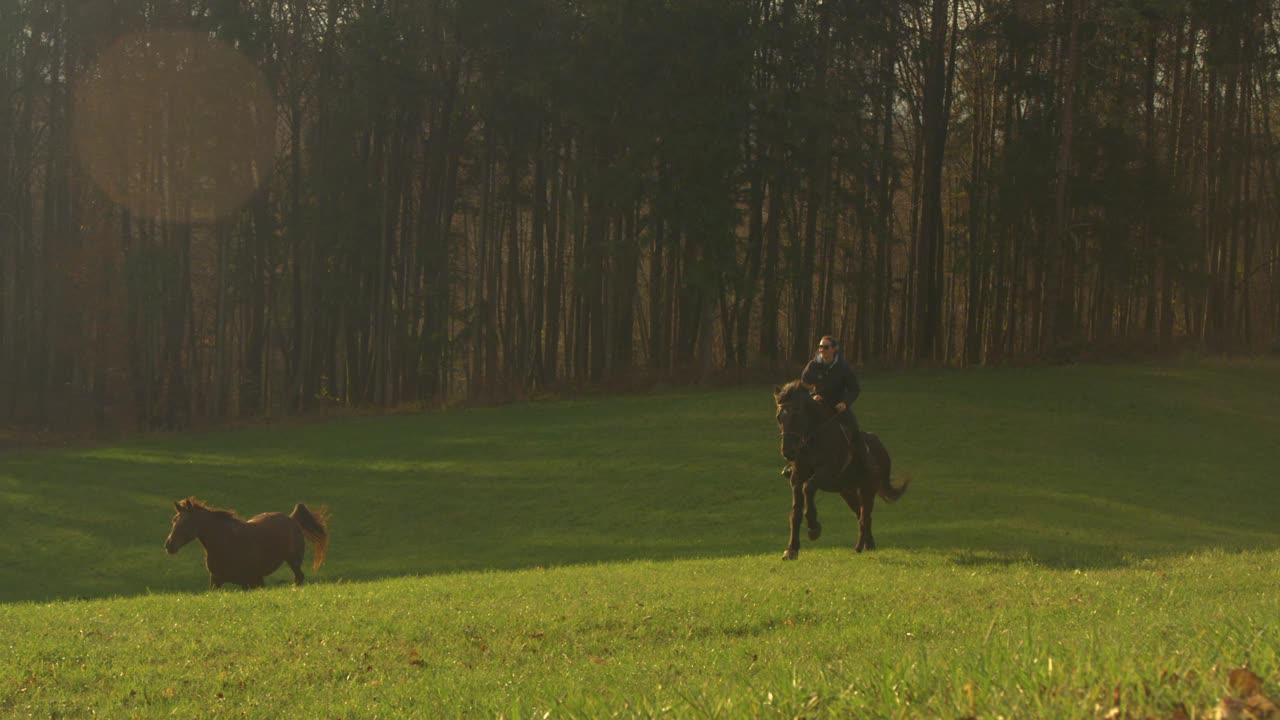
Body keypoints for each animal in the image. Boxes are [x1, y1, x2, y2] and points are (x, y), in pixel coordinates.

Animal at [165, 491, 330, 589]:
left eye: (185, 522)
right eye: (173, 520)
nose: (168, 545)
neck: (225, 542)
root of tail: (292, 518)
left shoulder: (250, 581)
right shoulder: (216, 581)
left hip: (293, 561)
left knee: (299, 578)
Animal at [768, 379, 911, 558]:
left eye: (797, 415)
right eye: (779, 417)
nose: (788, 452)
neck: (813, 439)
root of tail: (881, 448)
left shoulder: (826, 473)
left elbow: (808, 488)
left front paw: (814, 528)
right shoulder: (797, 478)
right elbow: (795, 513)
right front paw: (791, 550)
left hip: (868, 488)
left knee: (865, 516)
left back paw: (864, 546)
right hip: (847, 491)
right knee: (860, 514)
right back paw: (865, 546)